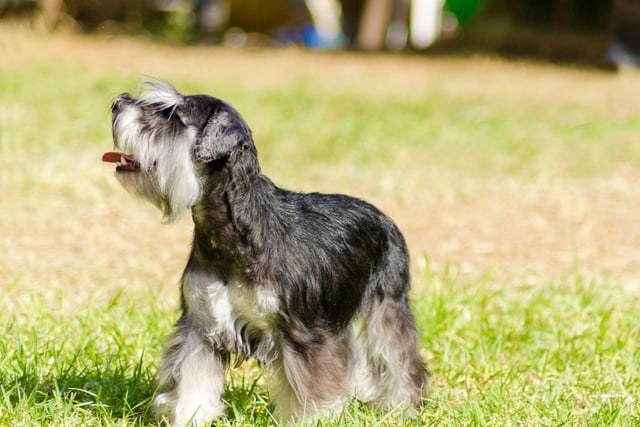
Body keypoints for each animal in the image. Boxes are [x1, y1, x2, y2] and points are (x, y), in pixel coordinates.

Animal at [102, 82, 428, 426]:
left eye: (171, 114)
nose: (117, 103)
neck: (234, 234)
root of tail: (384, 218)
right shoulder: (200, 326)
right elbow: (193, 381)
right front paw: (187, 416)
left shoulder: (300, 332)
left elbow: (312, 388)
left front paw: (314, 418)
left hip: (387, 307)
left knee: (400, 359)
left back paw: (402, 406)